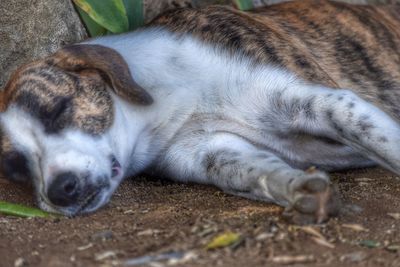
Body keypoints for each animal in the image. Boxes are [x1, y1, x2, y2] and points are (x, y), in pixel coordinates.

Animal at [0, 0, 400, 225]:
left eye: (58, 109)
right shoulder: (212, 153)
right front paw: (302, 191)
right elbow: (262, 174)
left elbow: (379, 138)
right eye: (15, 167)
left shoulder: (315, 100)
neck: (166, 101)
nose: (60, 191)